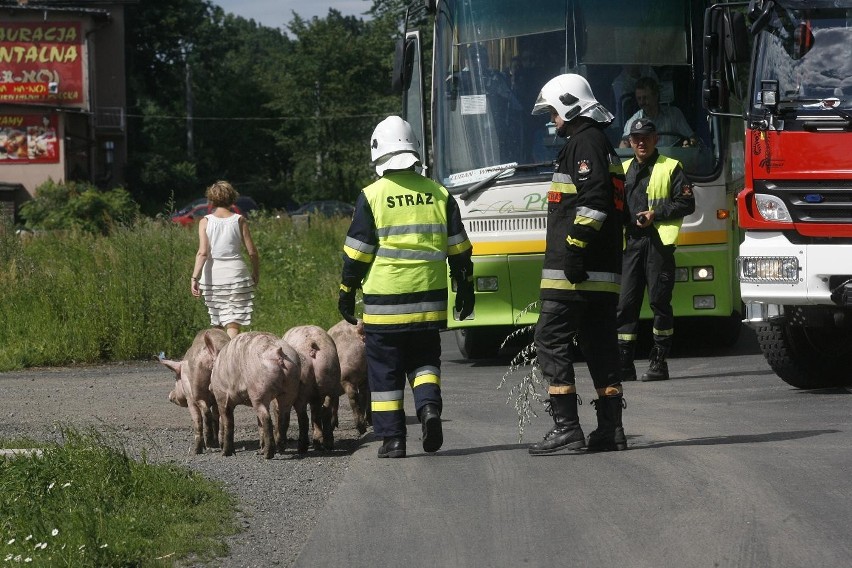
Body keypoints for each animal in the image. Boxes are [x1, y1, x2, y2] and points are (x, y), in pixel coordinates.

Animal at [210, 330, 302, 460]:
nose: (209, 387)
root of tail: (278, 352)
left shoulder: (222, 396)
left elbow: (228, 422)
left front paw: (225, 454)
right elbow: (258, 425)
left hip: (258, 389)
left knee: (266, 417)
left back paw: (268, 455)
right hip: (291, 385)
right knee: (283, 417)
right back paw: (277, 450)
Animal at [282, 324, 342, 452]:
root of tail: (312, 344)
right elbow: (316, 415)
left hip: (302, 386)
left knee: (303, 418)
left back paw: (302, 447)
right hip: (330, 374)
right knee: (325, 412)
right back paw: (327, 444)